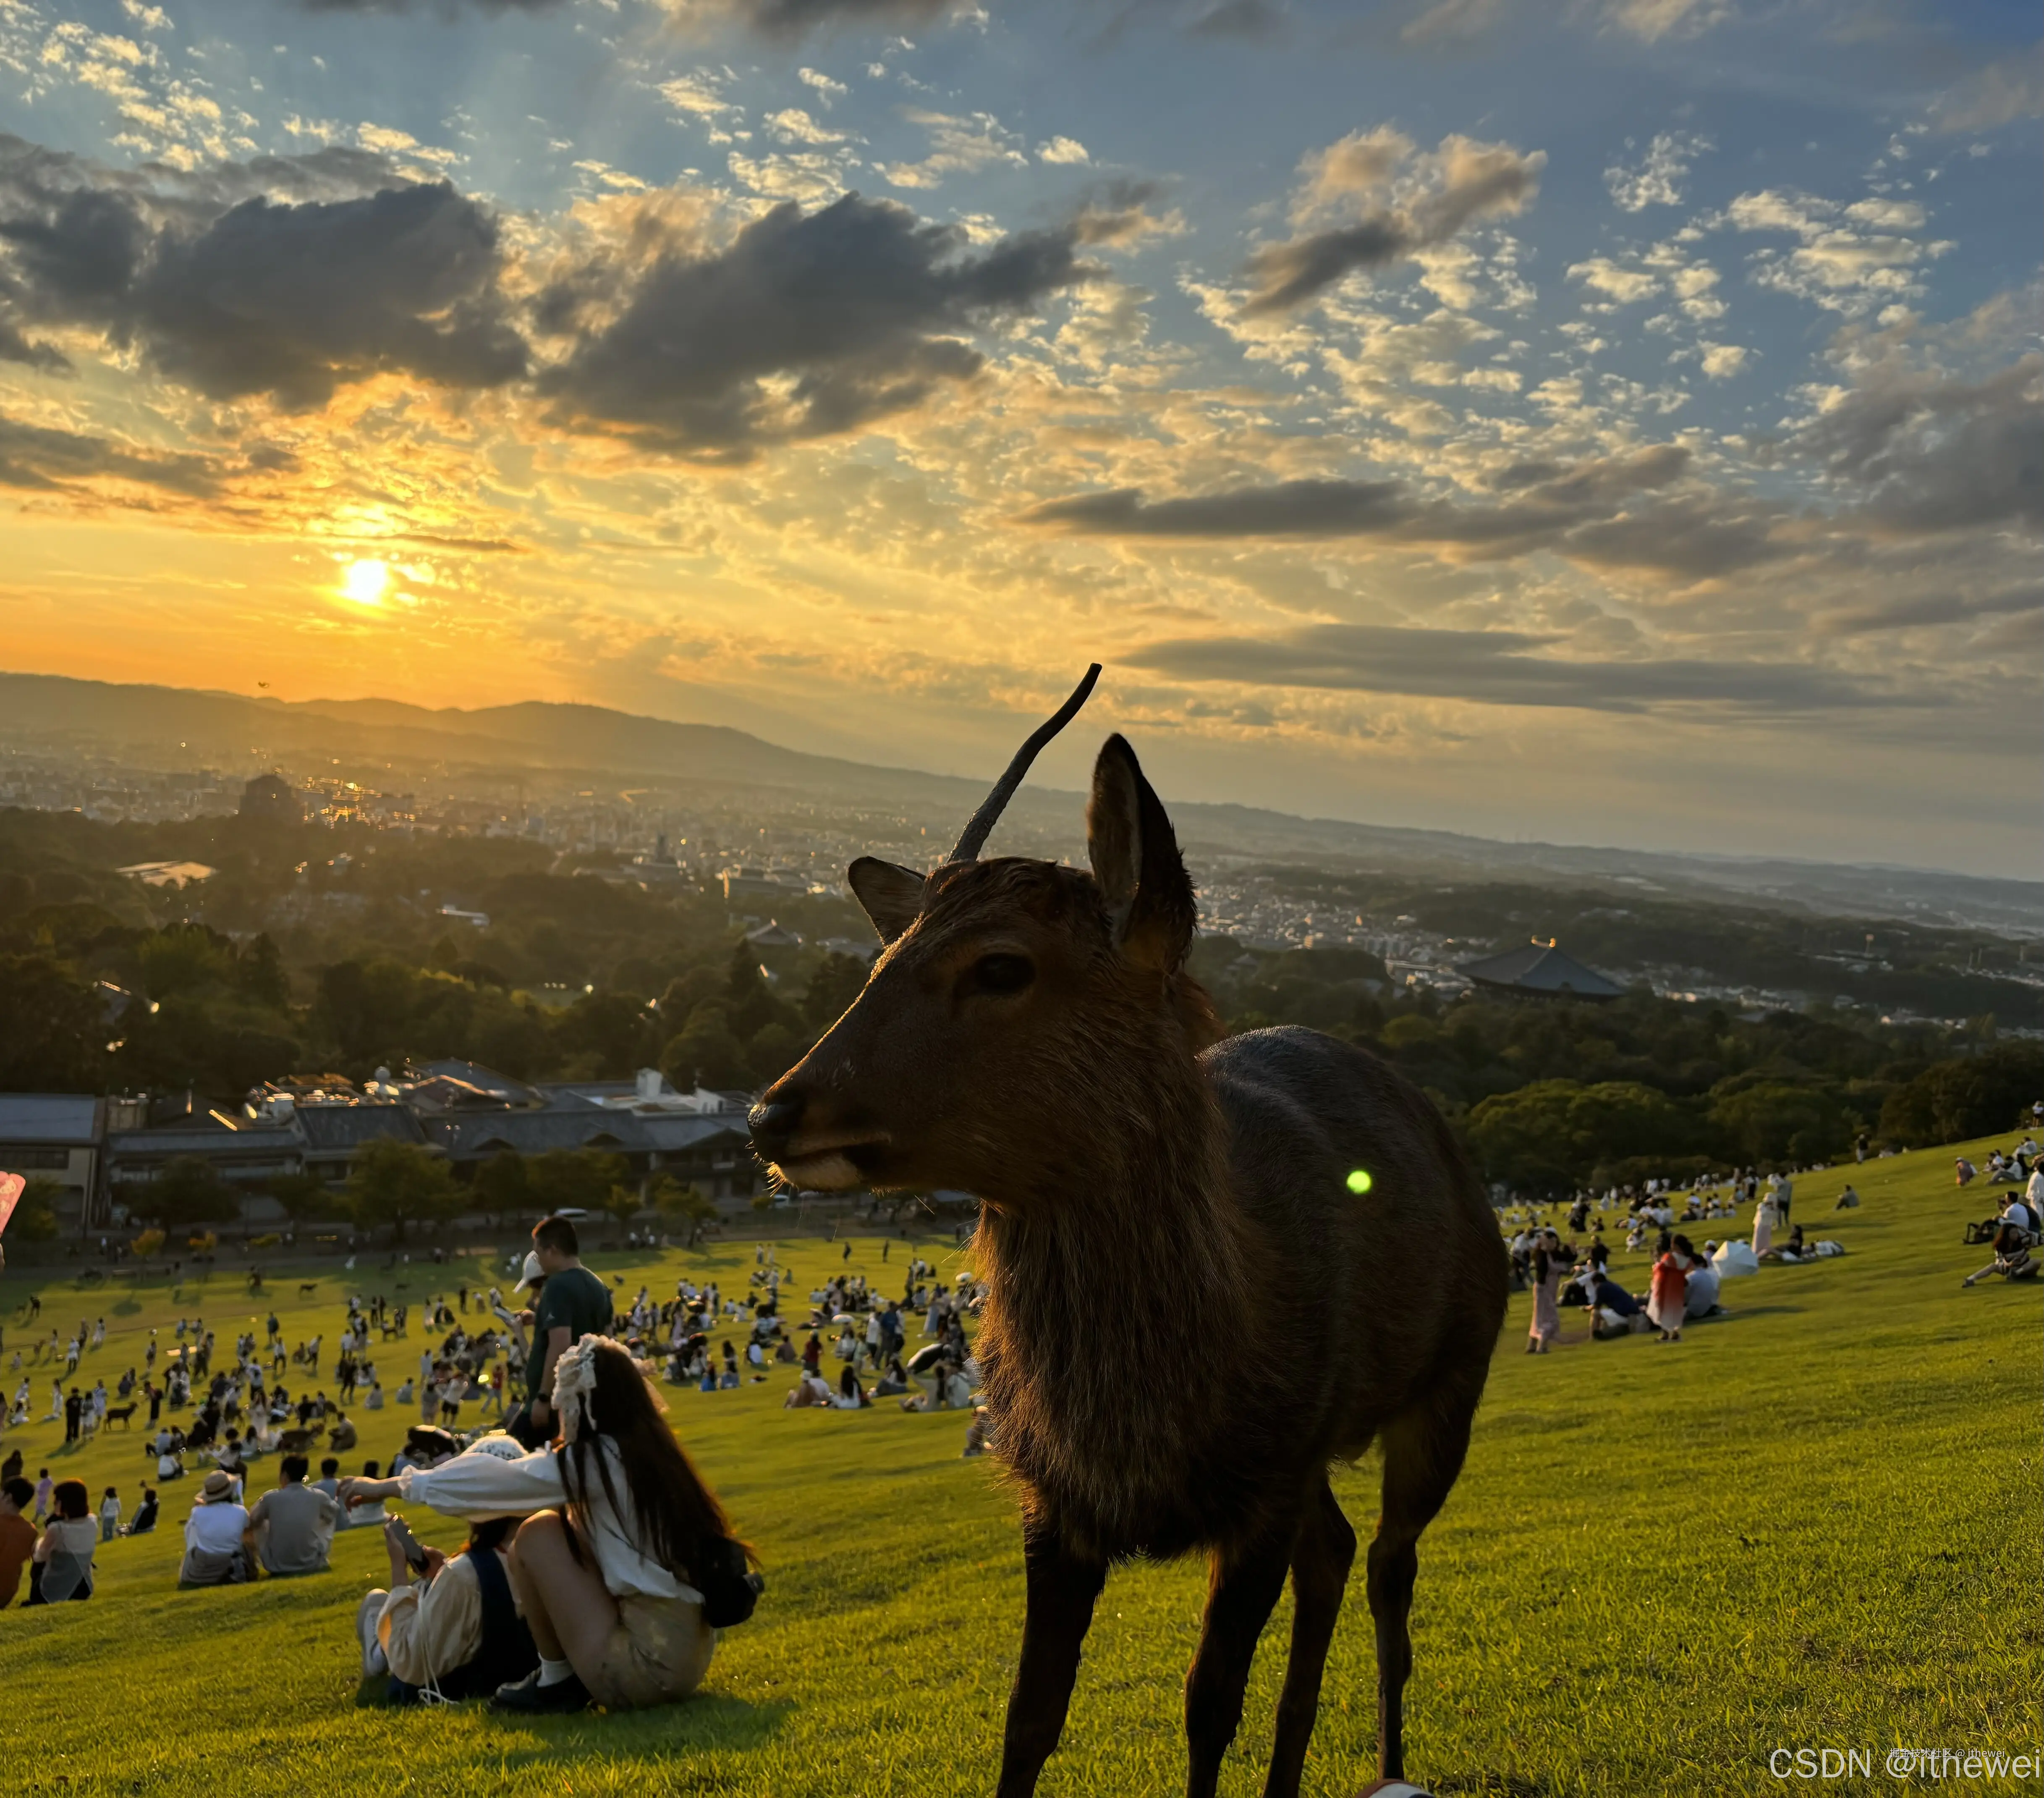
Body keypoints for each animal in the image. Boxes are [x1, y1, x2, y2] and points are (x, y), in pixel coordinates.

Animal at [750, 668, 1508, 1798]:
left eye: (1002, 965)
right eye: (883, 953)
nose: (772, 1114)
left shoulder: (1261, 1491)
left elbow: (1204, 1704)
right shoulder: (1051, 1500)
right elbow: (1027, 1714)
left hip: (1448, 1386)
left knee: (1388, 1566)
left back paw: (1390, 1763)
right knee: (1333, 1553)